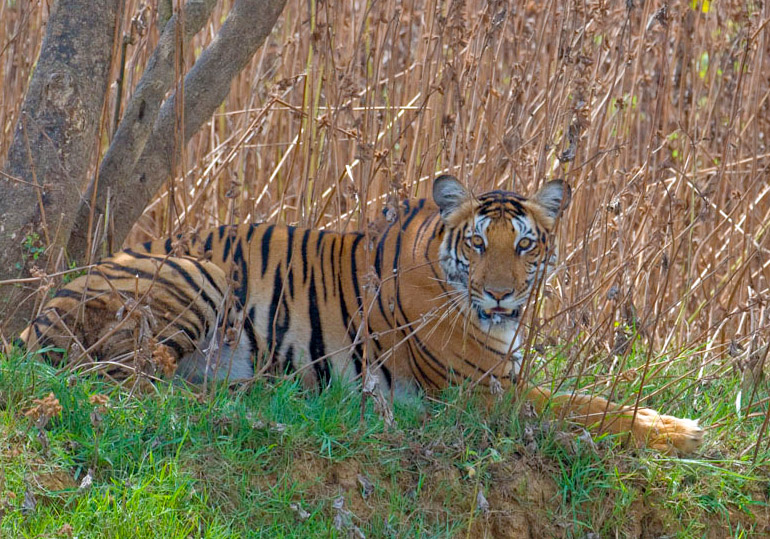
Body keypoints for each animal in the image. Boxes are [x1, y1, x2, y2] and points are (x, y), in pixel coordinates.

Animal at [19, 176, 704, 456]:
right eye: (479, 244)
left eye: (525, 246)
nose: (502, 296)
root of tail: (39, 314)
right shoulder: (481, 393)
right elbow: (584, 409)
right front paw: (686, 434)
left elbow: (590, 400)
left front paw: (675, 423)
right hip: (198, 275)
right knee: (131, 376)